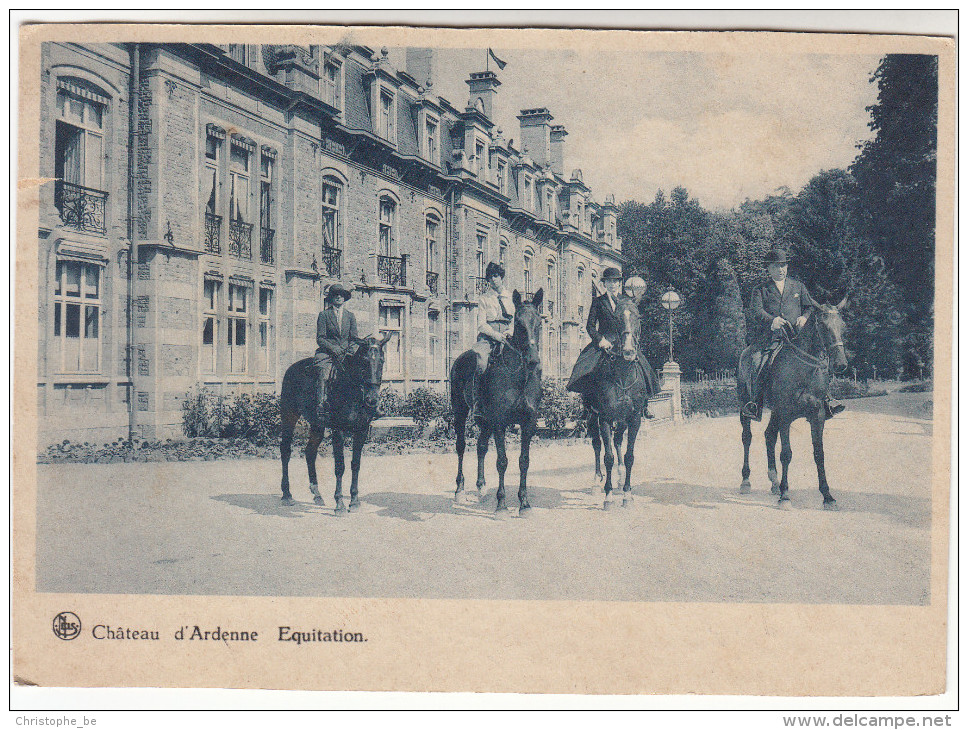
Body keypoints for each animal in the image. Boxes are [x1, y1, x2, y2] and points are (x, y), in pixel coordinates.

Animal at [276, 334, 390, 512]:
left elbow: (355, 464)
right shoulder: (339, 431)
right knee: (285, 451)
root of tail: (291, 368)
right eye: (364, 361)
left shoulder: (362, 430)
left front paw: (354, 501)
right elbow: (340, 466)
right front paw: (339, 504)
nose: (372, 400)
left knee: (310, 452)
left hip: (317, 424)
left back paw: (317, 494)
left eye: (382, 361)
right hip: (289, 415)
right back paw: (287, 494)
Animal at [452, 288, 544, 516]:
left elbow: (524, 461)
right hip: (459, 411)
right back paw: (460, 490)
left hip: (485, 420)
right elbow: (502, 461)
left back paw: (481, 488)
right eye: (518, 323)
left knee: (481, 447)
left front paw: (524, 503)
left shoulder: (528, 423)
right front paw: (501, 504)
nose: (533, 360)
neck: (520, 377)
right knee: (460, 446)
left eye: (539, 322)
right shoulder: (500, 423)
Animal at [584, 298, 652, 510]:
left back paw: (621, 478)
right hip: (592, 416)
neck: (622, 375)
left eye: (638, 317)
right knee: (597, 445)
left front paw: (627, 494)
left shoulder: (634, 418)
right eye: (616, 319)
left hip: (621, 420)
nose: (629, 351)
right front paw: (608, 496)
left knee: (618, 441)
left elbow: (629, 456)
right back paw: (596, 481)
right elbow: (608, 457)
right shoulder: (605, 417)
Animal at [740, 294, 848, 506]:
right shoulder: (785, 415)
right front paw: (785, 496)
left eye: (842, 325)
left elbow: (819, 454)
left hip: (775, 412)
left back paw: (774, 482)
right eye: (823, 326)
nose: (841, 364)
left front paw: (827, 496)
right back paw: (746, 481)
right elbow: (786, 454)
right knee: (747, 437)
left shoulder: (817, 415)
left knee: (769, 436)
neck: (805, 370)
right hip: (745, 405)